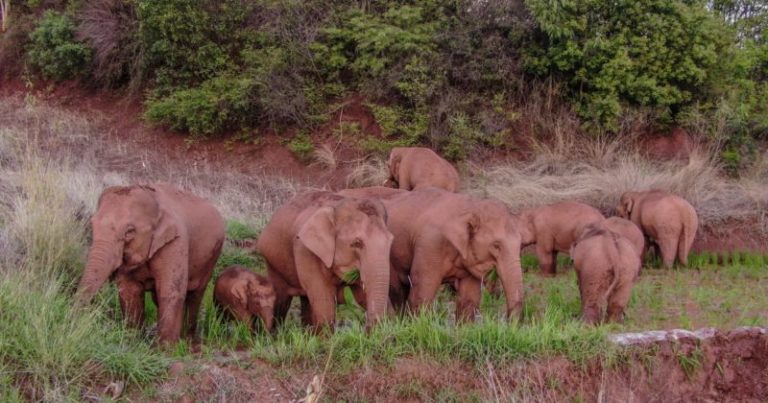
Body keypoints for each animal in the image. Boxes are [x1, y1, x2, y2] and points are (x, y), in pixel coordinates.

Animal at [76, 185, 225, 346]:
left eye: (130, 231)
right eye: (92, 225)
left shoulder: (176, 241)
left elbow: (170, 290)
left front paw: (166, 348)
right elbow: (130, 291)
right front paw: (133, 341)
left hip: (212, 256)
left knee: (195, 294)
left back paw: (188, 339)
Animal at [256, 191, 392, 330]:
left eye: (391, 241)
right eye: (357, 243)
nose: (365, 328)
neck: (336, 207)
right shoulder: (306, 251)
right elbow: (325, 307)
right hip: (273, 264)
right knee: (281, 301)